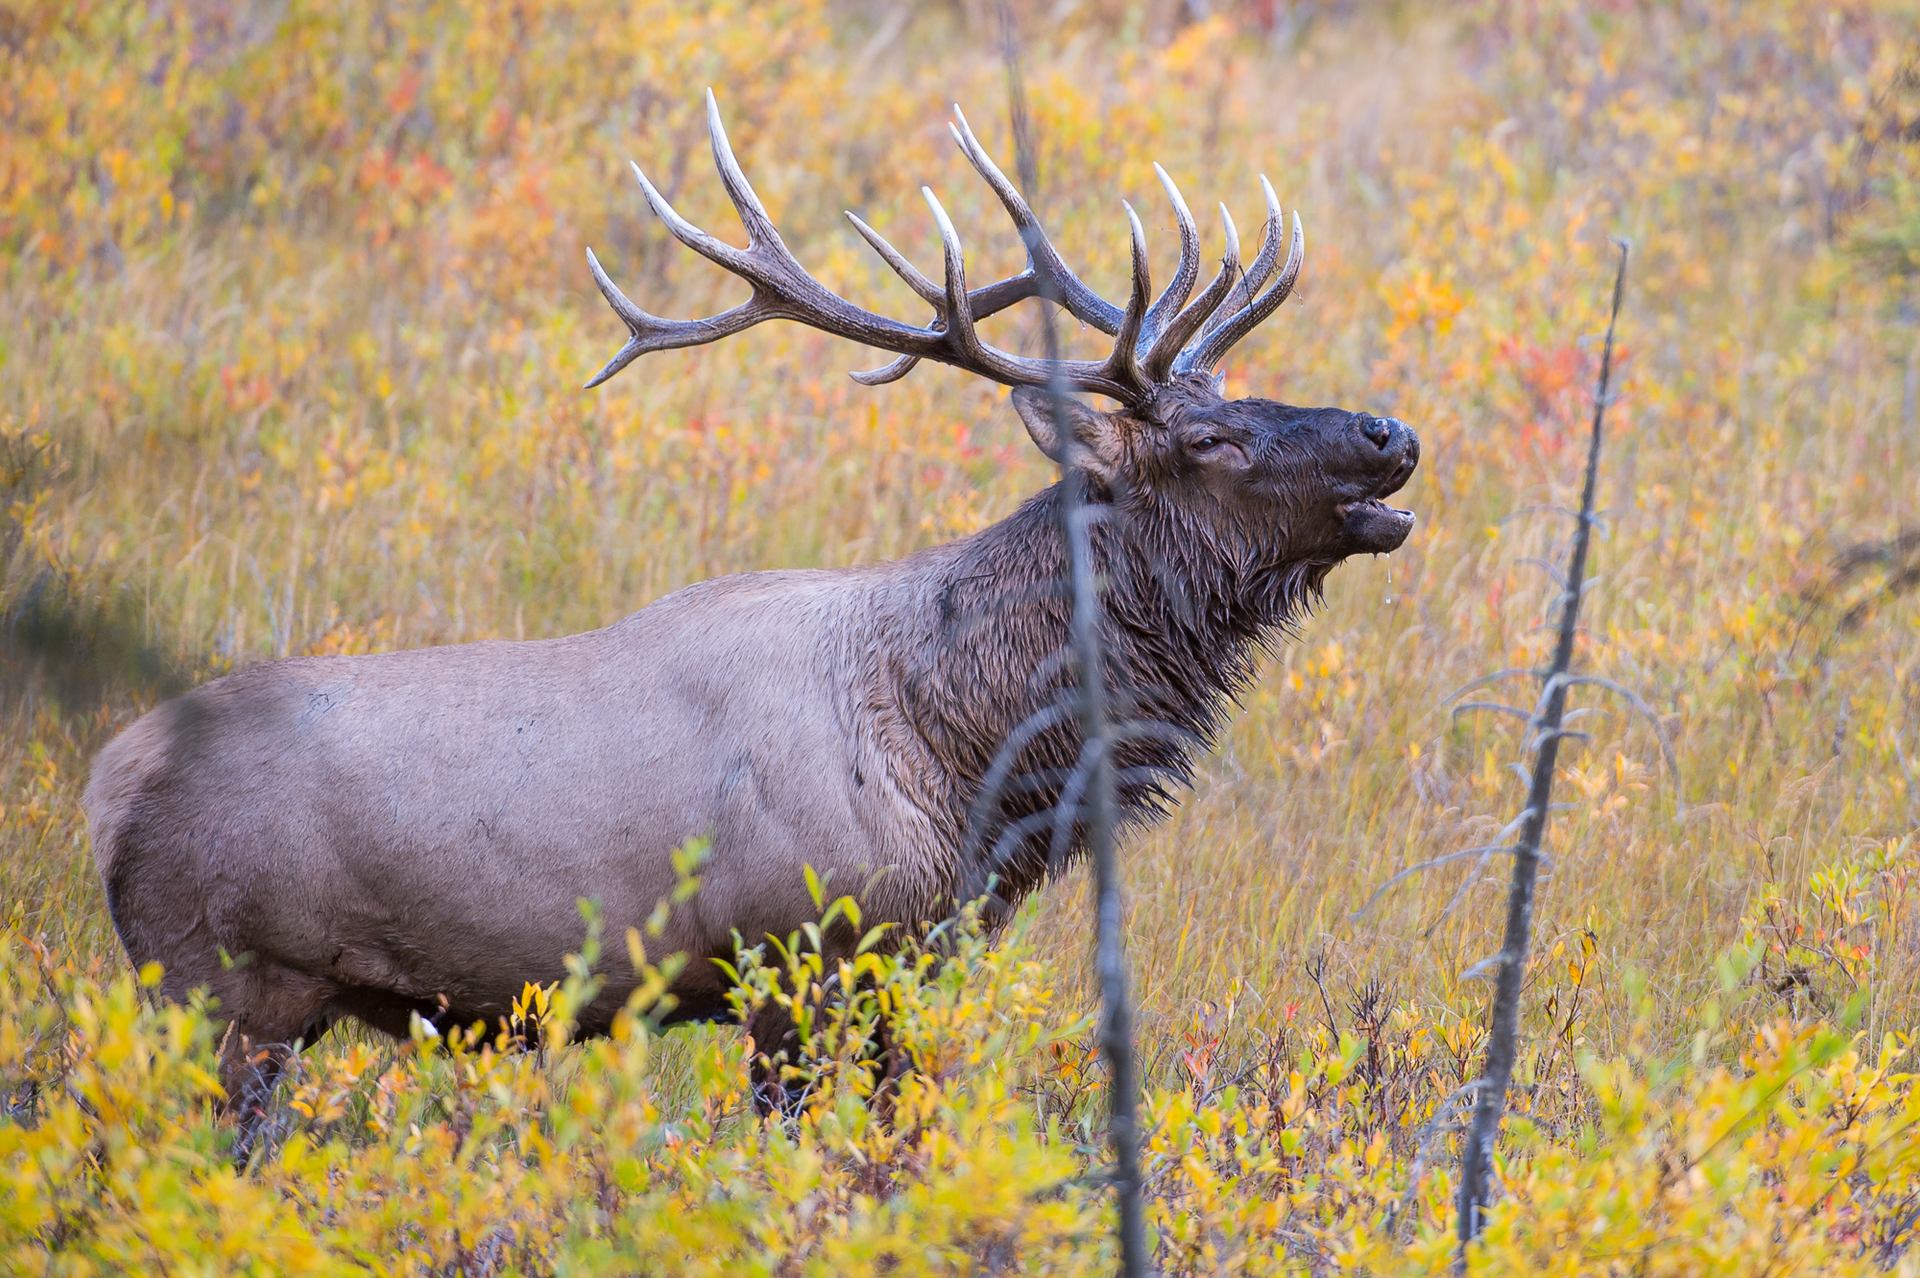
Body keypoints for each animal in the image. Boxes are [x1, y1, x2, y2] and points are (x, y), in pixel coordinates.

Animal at [84, 93, 1418, 1135]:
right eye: (1208, 440)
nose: (1389, 432)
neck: (966, 766)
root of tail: (103, 786)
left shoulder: (903, 971)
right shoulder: (795, 961)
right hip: (227, 987)